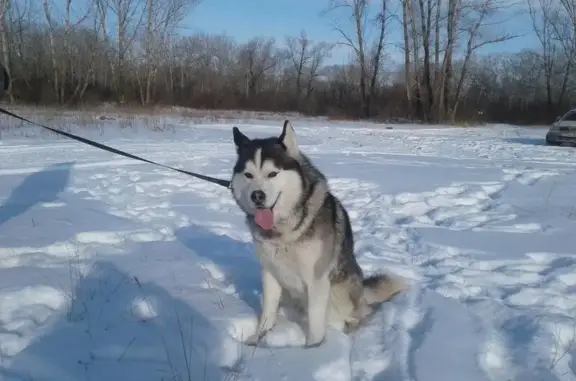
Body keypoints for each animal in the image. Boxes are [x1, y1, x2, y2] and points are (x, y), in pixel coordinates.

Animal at [228, 120, 404, 346]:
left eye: (272, 173)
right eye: (248, 175)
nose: (257, 195)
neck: (284, 230)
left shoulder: (317, 281)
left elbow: (315, 321)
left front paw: (314, 349)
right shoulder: (270, 273)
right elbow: (267, 311)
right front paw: (258, 338)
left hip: (341, 294)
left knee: (356, 315)